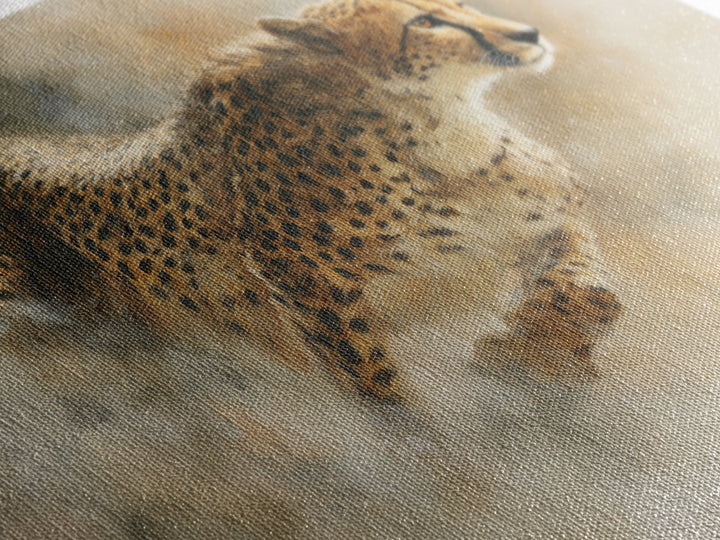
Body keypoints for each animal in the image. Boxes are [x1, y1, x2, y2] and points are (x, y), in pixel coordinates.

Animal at [0, 0, 621, 402]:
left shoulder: (548, 217)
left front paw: (545, 337)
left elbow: (585, 278)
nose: (532, 32)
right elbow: (377, 383)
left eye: (460, 4)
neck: (428, 124)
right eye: (424, 22)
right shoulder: (315, 289)